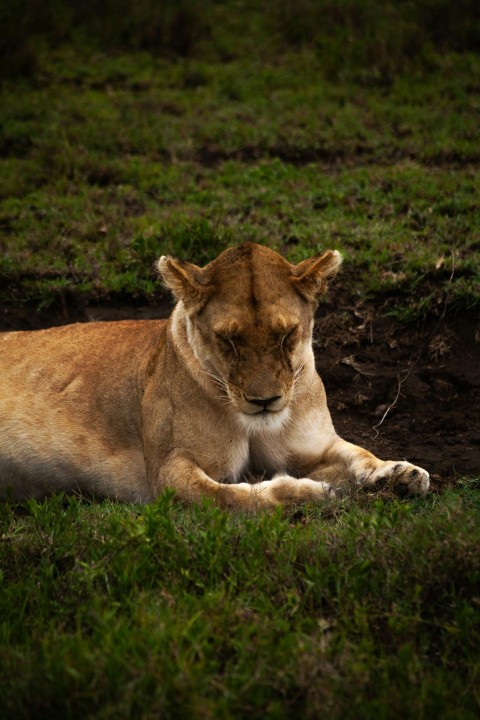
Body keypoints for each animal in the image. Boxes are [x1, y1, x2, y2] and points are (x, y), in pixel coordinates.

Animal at [0, 243, 429, 508]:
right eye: (228, 339)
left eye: (287, 334)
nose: (264, 401)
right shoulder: (167, 472)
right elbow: (234, 498)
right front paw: (309, 494)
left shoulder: (314, 448)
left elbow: (357, 454)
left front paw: (399, 473)